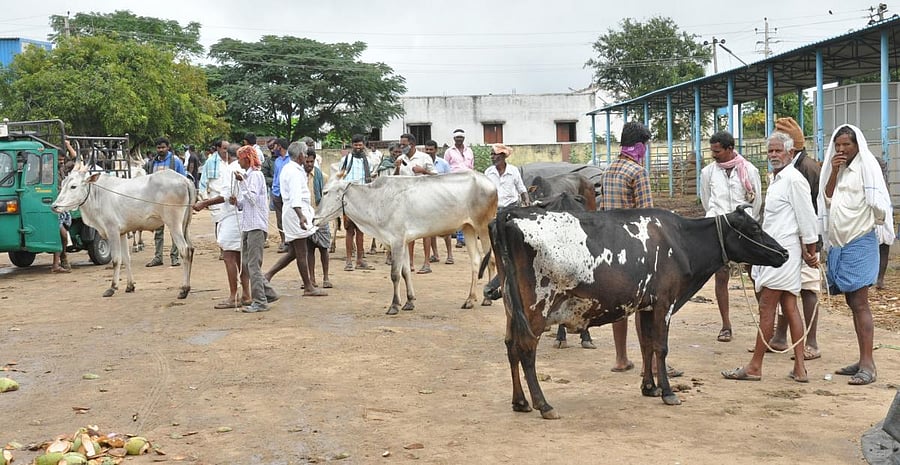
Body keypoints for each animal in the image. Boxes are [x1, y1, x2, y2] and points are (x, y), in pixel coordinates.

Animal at [51, 166, 196, 299]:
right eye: (62, 184)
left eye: (73, 186)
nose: (54, 206)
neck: (97, 194)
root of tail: (184, 180)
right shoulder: (122, 233)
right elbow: (126, 258)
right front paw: (130, 286)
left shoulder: (112, 231)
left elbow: (116, 259)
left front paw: (112, 287)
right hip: (185, 225)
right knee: (191, 248)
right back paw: (188, 287)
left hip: (174, 224)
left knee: (184, 250)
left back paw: (184, 289)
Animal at [313, 170, 497, 314]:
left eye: (326, 192)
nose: (314, 219)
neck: (376, 200)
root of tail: (490, 183)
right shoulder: (402, 242)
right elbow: (406, 272)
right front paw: (409, 301)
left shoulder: (397, 241)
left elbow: (395, 274)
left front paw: (394, 305)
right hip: (468, 228)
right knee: (476, 261)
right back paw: (470, 299)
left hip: (483, 228)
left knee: (492, 260)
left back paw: (487, 299)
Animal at [491, 206, 788, 418]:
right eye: (755, 228)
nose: (784, 252)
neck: (680, 240)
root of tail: (510, 214)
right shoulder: (665, 303)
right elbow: (660, 347)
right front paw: (667, 392)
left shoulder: (647, 305)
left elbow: (646, 345)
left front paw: (649, 387)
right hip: (537, 307)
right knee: (526, 349)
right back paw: (543, 404)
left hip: (512, 308)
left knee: (510, 346)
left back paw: (520, 402)